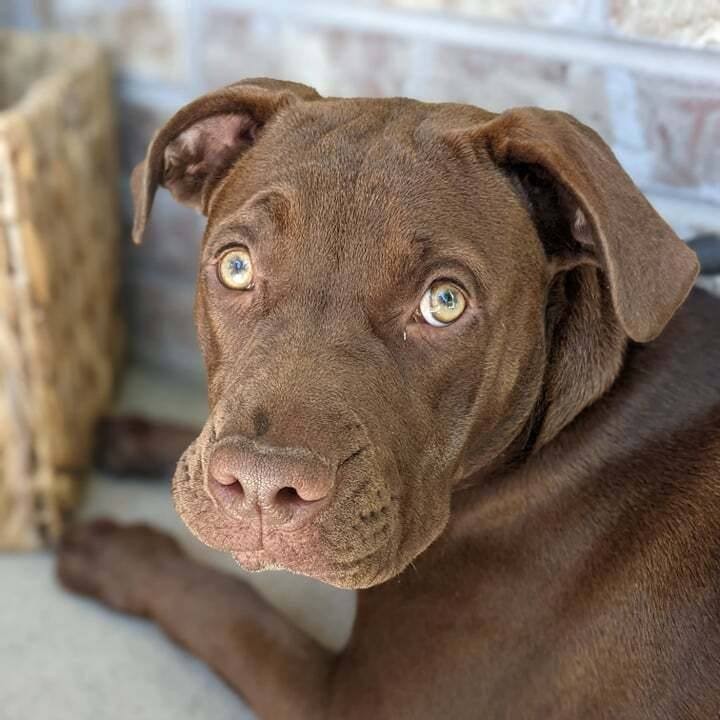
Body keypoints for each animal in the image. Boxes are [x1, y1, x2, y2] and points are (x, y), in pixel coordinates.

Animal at [59, 79, 720, 720]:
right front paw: (127, 437)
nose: (259, 486)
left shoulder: (346, 703)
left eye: (444, 302)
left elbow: (233, 612)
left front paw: (120, 553)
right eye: (236, 266)